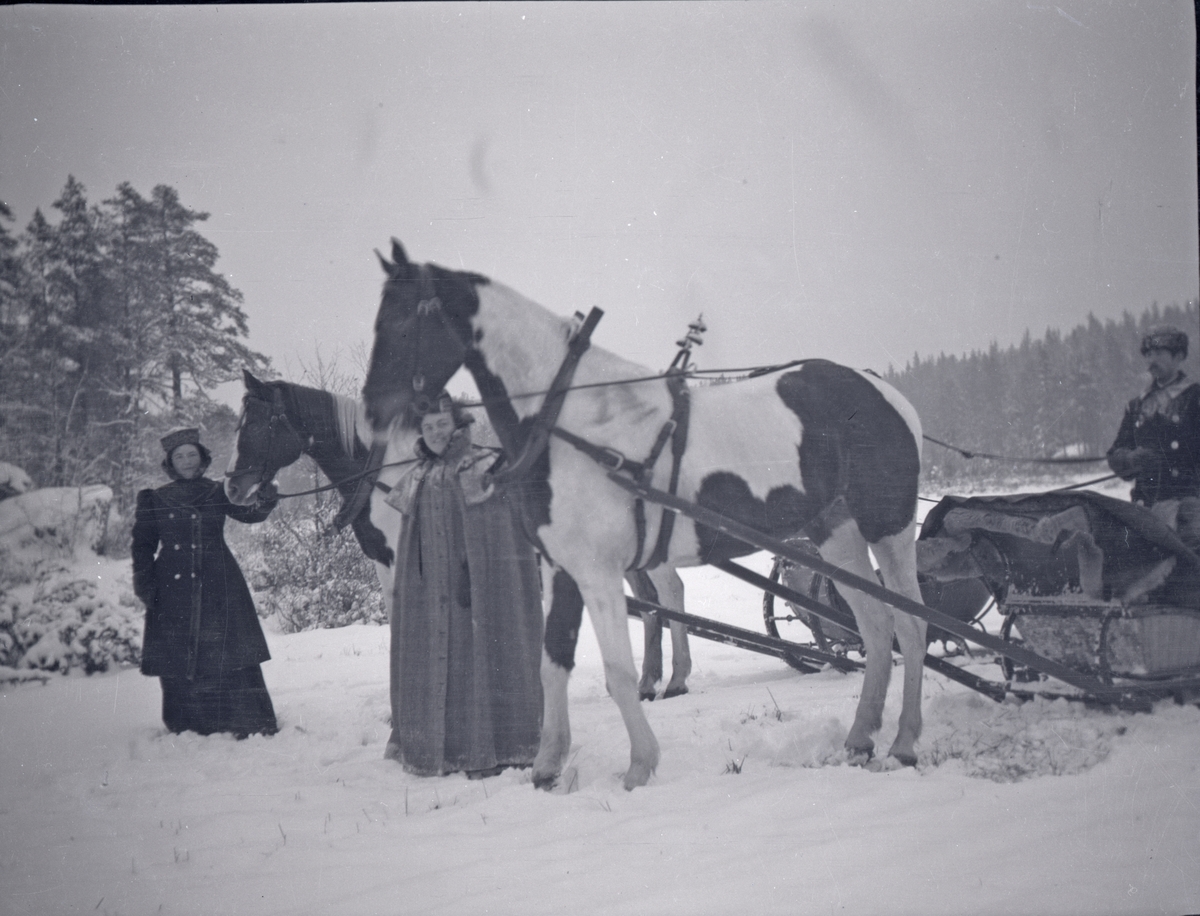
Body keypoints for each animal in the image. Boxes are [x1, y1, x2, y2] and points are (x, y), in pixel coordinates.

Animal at [361, 239, 928, 791]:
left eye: (407, 317)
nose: (371, 410)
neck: (569, 424)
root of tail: (883, 391)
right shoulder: (560, 569)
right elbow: (552, 662)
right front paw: (547, 766)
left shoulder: (598, 573)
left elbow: (618, 670)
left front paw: (639, 764)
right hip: (836, 533)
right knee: (876, 625)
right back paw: (860, 739)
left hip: (889, 526)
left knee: (911, 623)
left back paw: (903, 744)